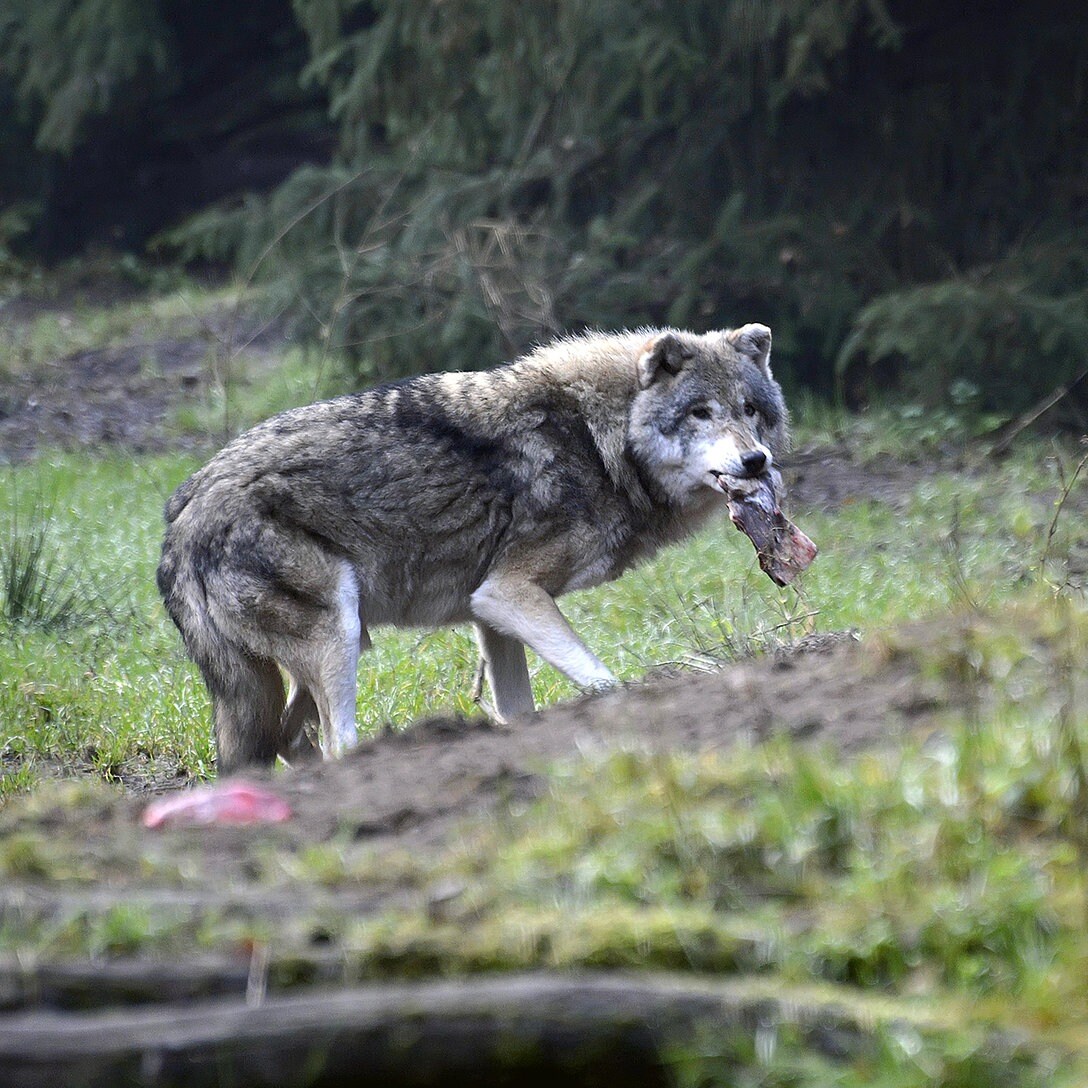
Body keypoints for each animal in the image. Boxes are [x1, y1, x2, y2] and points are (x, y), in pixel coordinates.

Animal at [157, 324, 792, 774]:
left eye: (750, 410)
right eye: (701, 412)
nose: (756, 460)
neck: (597, 440)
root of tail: (178, 524)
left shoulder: (489, 614)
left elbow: (520, 712)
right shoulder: (507, 594)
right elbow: (604, 682)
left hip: (334, 644)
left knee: (289, 738)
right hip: (338, 636)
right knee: (335, 742)